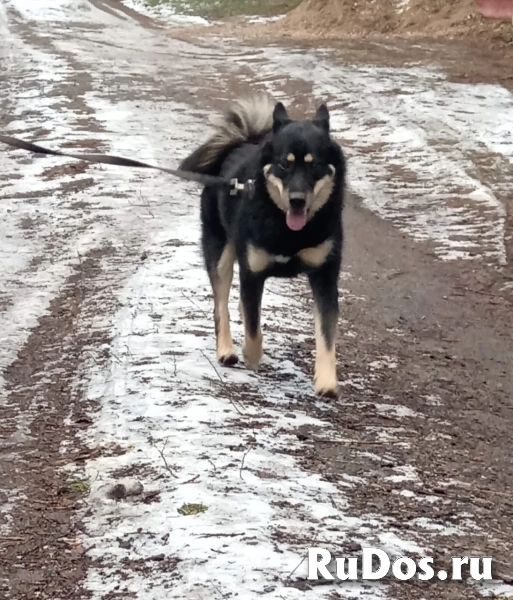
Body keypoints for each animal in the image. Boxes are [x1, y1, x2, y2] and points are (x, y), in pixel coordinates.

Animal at [179, 92, 344, 398]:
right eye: (284, 164)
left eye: (314, 165)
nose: (297, 201)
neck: (288, 229)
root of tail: (241, 144)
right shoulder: (252, 273)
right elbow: (253, 327)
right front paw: (251, 356)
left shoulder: (325, 278)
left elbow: (326, 335)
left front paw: (327, 382)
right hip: (220, 255)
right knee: (220, 306)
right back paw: (227, 350)